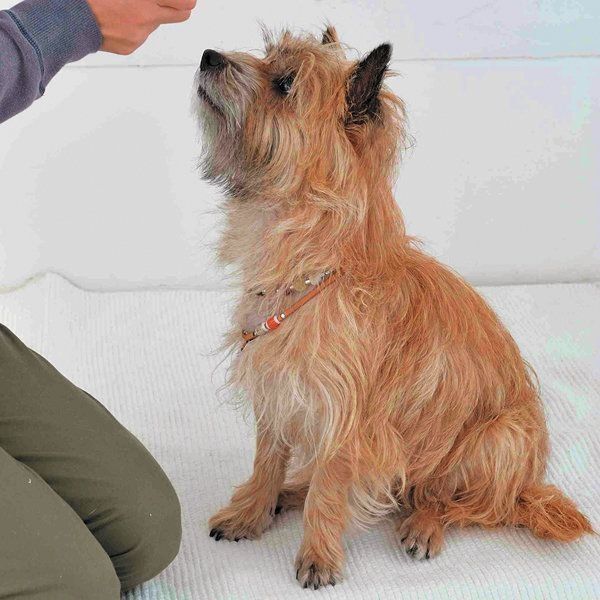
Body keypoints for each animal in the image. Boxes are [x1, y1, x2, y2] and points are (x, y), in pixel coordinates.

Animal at [193, 26, 592, 589]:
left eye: (286, 82)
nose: (208, 56)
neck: (309, 262)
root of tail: (527, 487)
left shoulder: (347, 417)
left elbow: (330, 488)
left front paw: (318, 554)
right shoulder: (277, 390)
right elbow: (267, 461)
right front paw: (252, 511)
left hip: (499, 438)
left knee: (461, 503)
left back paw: (423, 524)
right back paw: (290, 494)